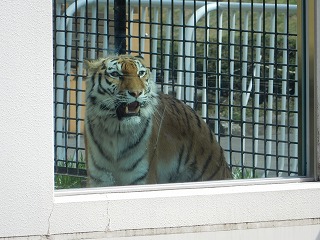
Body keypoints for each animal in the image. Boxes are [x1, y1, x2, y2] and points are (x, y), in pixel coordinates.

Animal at [84, 54, 231, 188]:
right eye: (115, 74)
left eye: (140, 73)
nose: (137, 93)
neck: (116, 131)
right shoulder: (99, 179)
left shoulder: (142, 178)